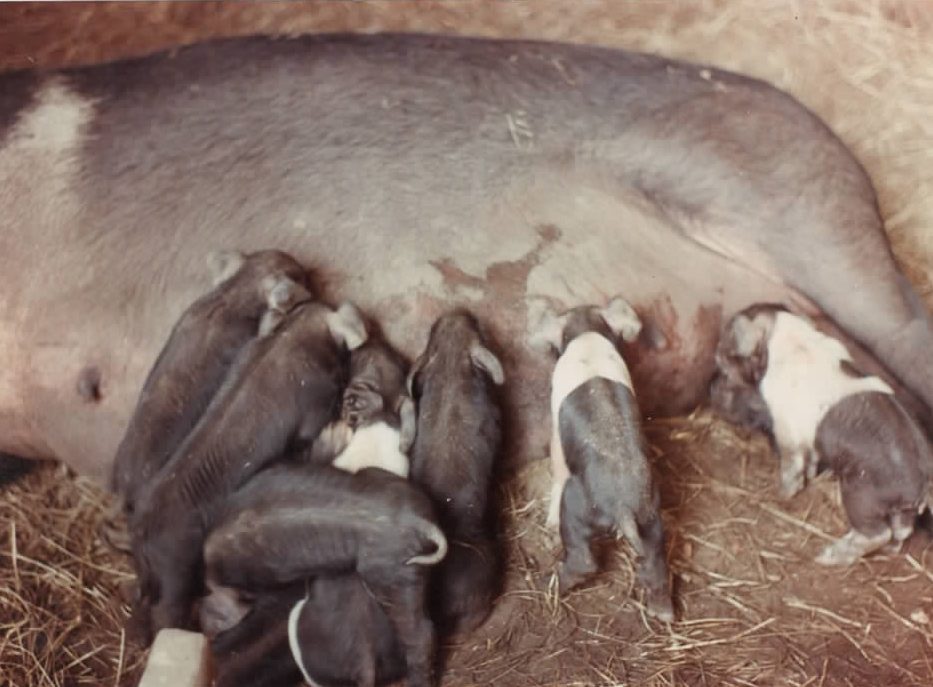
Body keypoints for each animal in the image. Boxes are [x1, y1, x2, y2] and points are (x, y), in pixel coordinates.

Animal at [129, 298, 368, 640]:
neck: (292, 336)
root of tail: (141, 531)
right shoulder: (313, 406)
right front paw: (340, 433)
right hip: (175, 571)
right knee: (167, 612)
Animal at [528, 297, 674, 621]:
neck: (586, 334)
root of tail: (623, 507)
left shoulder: (556, 437)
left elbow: (557, 468)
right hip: (651, 519)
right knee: (655, 562)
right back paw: (664, 613)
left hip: (577, 507)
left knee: (583, 559)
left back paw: (549, 583)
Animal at [713, 304, 933, 565]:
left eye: (727, 345)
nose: (715, 355)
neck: (791, 340)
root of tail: (922, 482)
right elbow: (810, 460)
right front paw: (809, 479)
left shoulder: (786, 428)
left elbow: (791, 466)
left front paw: (782, 495)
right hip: (902, 510)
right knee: (902, 531)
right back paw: (889, 550)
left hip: (862, 495)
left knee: (876, 533)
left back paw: (827, 557)